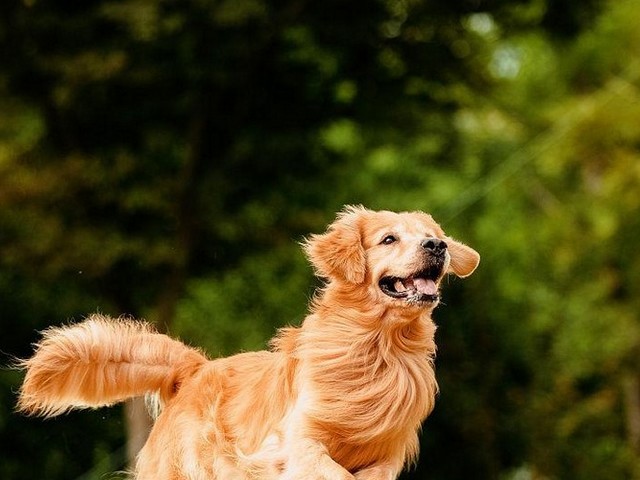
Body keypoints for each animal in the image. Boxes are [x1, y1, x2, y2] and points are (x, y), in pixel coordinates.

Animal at [16, 204, 480, 478]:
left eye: (430, 233)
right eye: (388, 238)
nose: (437, 245)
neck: (379, 345)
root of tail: (197, 369)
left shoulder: (387, 454)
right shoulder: (297, 441)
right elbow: (331, 469)